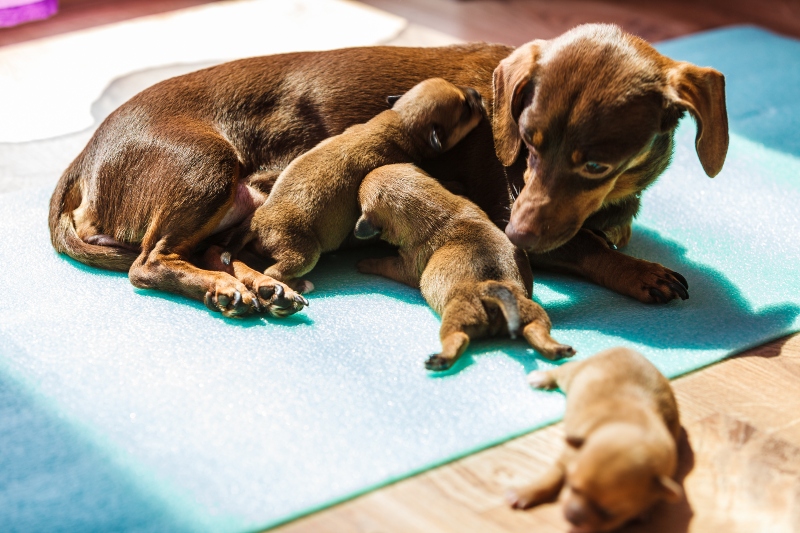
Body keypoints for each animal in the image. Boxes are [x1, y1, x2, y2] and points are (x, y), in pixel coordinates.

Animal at [48, 25, 724, 314]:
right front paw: (642, 273)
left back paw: (255, 286)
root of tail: (84, 155)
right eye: (527, 145)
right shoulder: (515, 211)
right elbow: (589, 247)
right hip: (206, 170)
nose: (518, 237)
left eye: (597, 164)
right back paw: (231, 288)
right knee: (148, 264)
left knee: (214, 251)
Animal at [356, 163, 576, 370]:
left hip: (457, 315)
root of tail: (491, 293)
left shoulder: (406, 266)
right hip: (530, 311)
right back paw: (558, 349)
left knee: (459, 338)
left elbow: (385, 264)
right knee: (535, 327)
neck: (436, 208)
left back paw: (441, 359)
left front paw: (365, 263)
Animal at [512, 348, 680, 528]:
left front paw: (645, 511)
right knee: (561, 370)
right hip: (573, 374)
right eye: (572, 486)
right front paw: (525, 493)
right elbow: (553, 474)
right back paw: (540, 377)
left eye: (608, 513)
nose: (573, 517)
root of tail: (626, 349)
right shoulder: (568, 455)